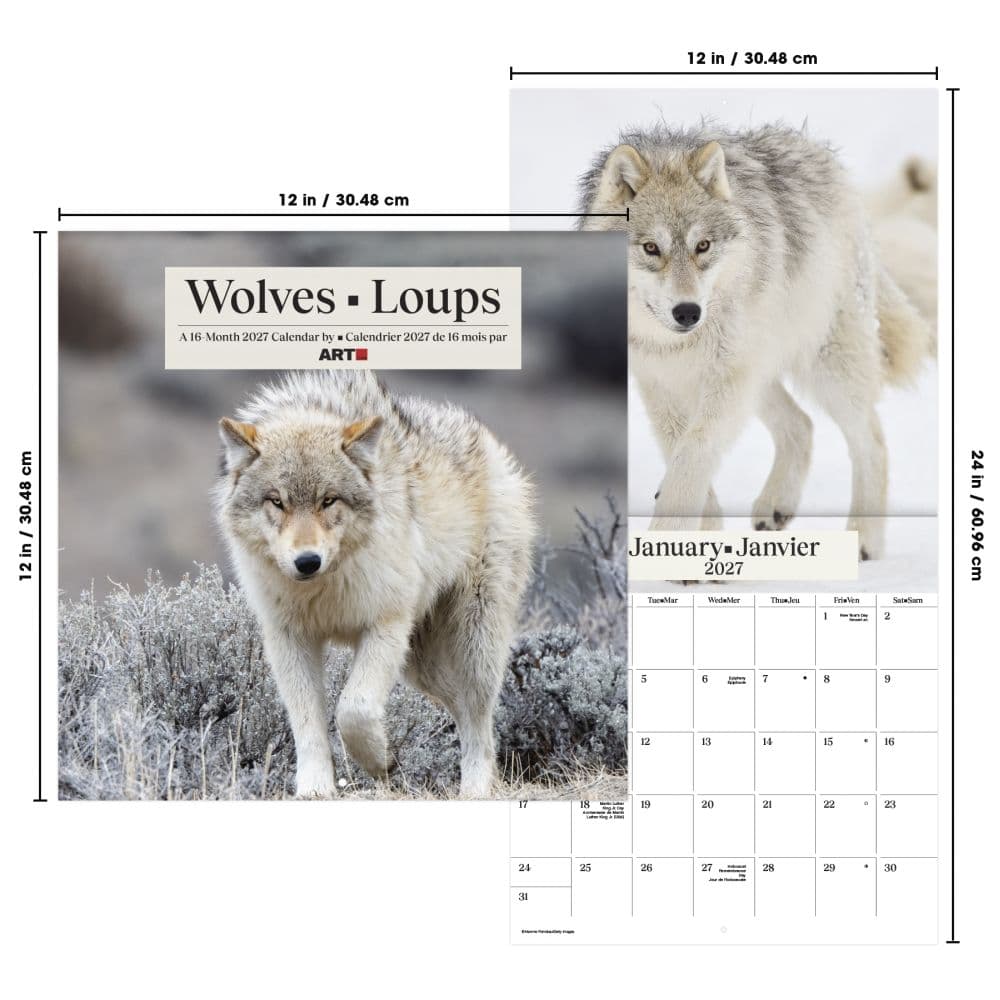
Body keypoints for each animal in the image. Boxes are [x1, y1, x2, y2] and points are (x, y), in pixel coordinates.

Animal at [214, 371, 535, 798]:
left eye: (329, 500)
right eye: (276, 501)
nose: (307, 561)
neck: (324, 589)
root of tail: (488, 440)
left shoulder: (386, 625)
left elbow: (354, 709)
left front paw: (378, 760)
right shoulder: (289, 638)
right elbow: (308, 725)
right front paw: (315, 789)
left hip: (473, 645)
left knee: (478, 719)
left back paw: (476, 790)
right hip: (421, 666)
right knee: (457, 706)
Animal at [580, 125, 935, 559]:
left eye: (703, 246)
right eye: (651, 248)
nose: (688, 312)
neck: (679, 345)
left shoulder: (726, 380)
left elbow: (693, 454)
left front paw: (670, 533)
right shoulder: (660, 384)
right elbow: (680, 452)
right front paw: (700, 540)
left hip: (822, 368)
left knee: (872, 441)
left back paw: (863, 539)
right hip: (760, 374)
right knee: (802, 424)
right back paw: (776, 504)